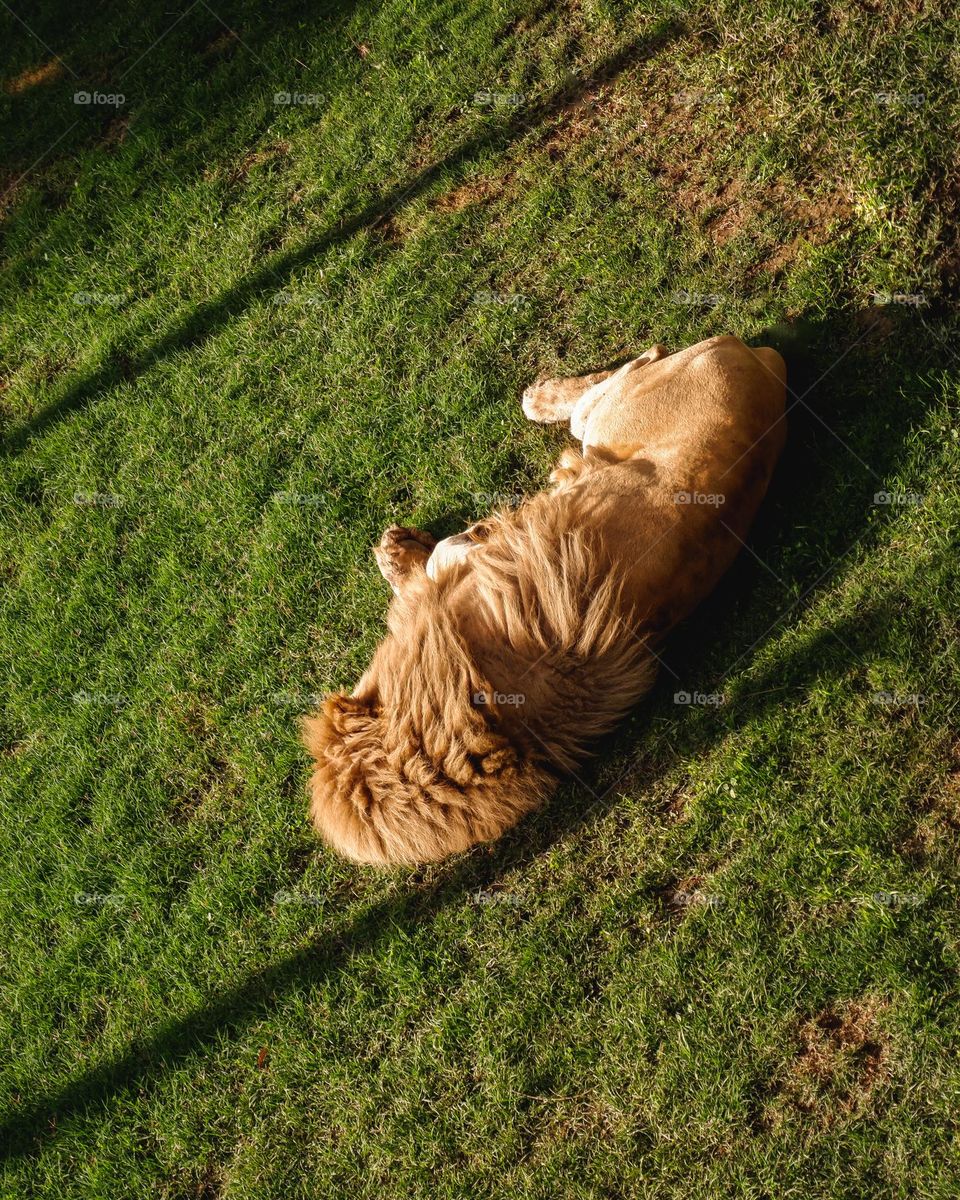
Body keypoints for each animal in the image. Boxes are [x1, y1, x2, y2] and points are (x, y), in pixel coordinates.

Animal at [303, 336, 786, 865]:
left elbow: (443, 555)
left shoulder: (474, 573)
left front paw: (403, 549)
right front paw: (402, 550)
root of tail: (759, 360)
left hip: (609, 414)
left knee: (629, 370)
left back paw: (539, 398)